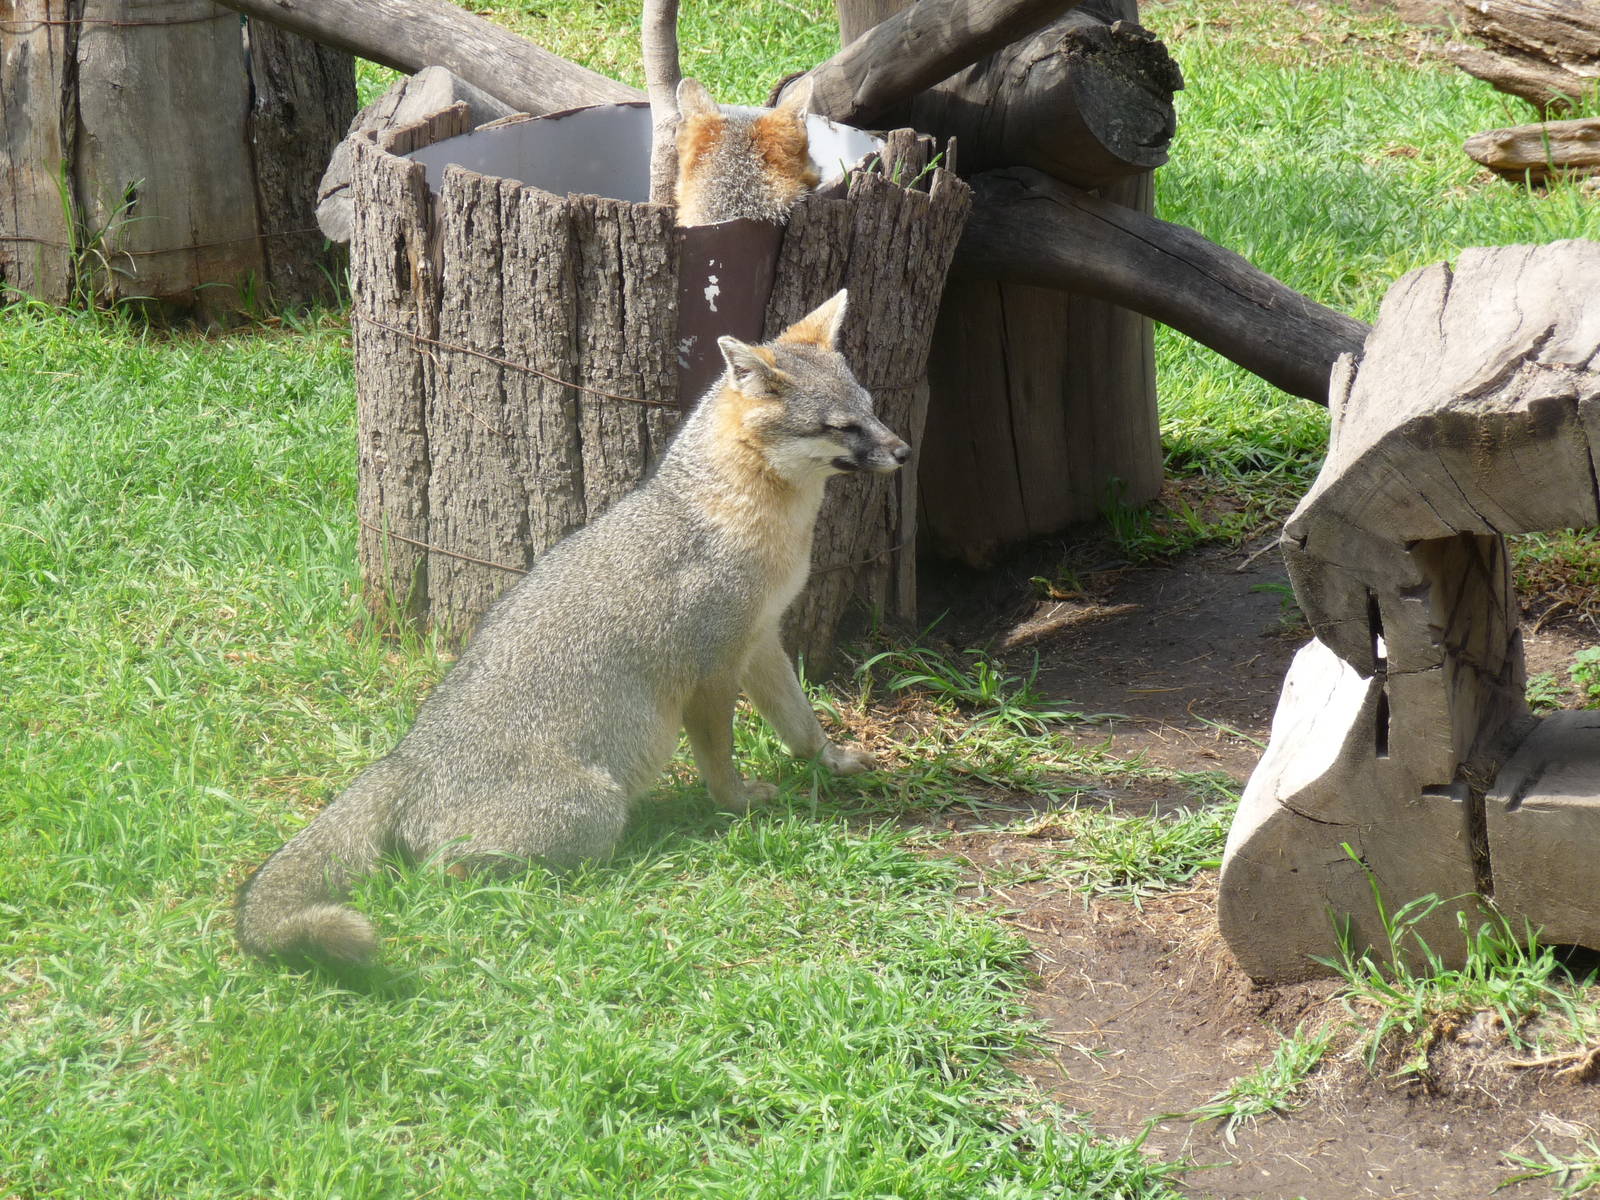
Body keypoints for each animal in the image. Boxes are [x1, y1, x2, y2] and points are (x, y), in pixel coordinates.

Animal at [235, 289, 909, 967]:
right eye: (842, 427)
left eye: (871, 410)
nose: (904, 452)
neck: (739, 516)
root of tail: (412, 757)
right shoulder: (712, 669)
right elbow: (720, 758)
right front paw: (738, 805)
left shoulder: (762, 640)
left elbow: (800, 724)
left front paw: (830, 760)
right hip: (596, 812)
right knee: (439, 874)